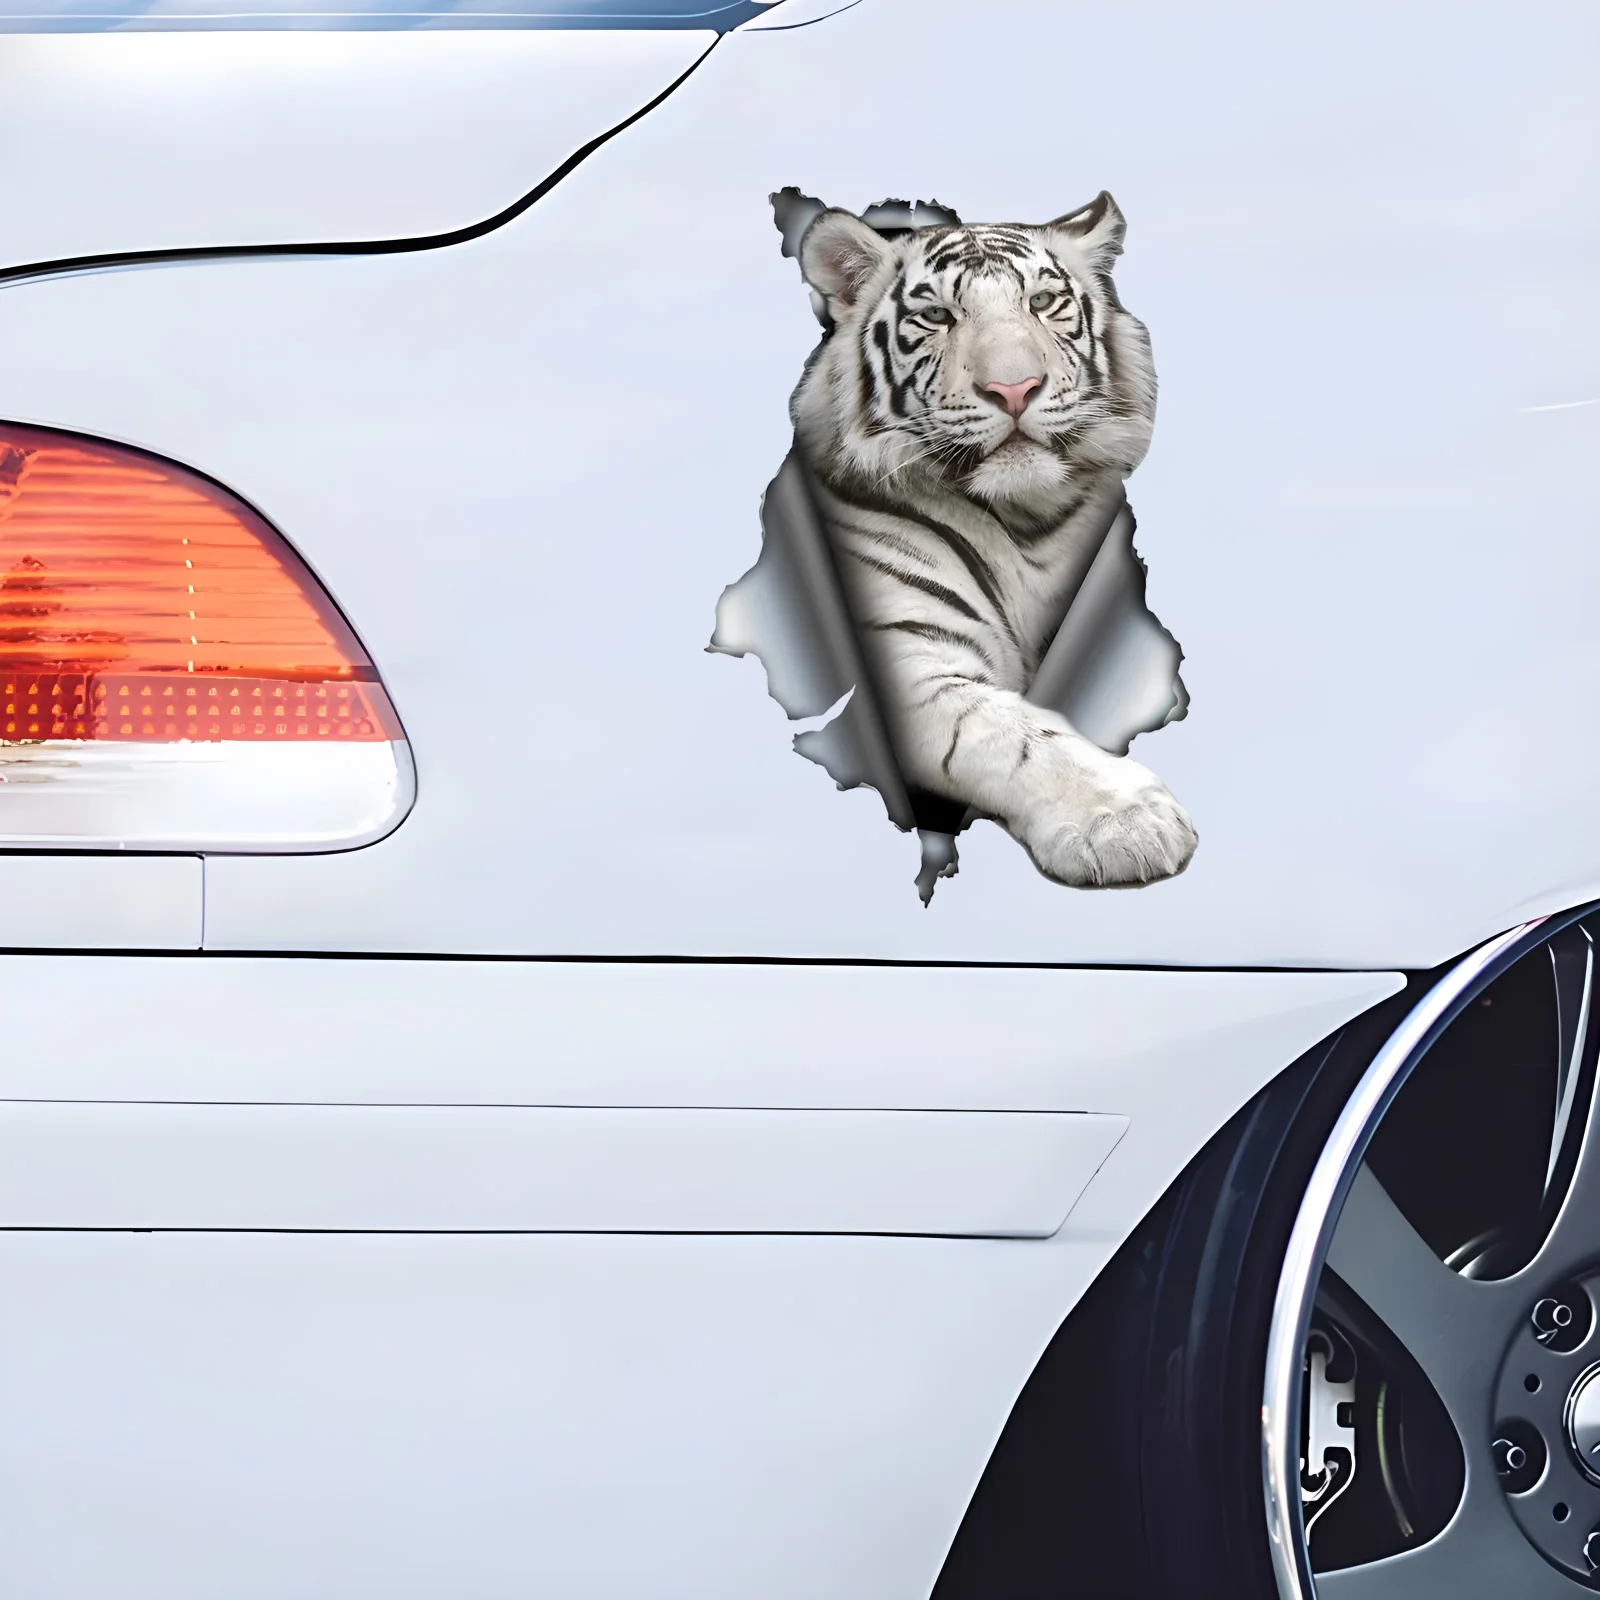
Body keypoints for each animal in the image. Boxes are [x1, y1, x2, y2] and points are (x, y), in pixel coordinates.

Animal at [788, 191, 1197, 888]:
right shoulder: (913, 663)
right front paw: (1124, 820)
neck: (1025, 518)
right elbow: (1017, 734)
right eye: (936, 315)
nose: (1014, 389)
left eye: (1042, 301)